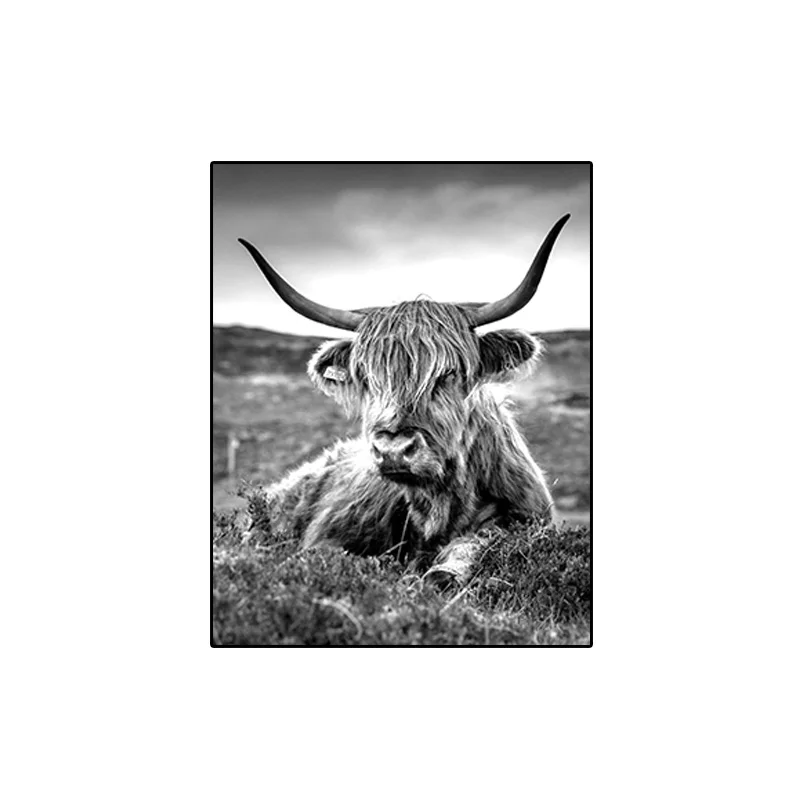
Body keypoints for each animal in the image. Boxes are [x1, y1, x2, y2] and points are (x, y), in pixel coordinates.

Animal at [237, 214, 570, 586]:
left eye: (448, 373)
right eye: (367, 377)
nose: (393, 450)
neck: (438, 507)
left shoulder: (524, 519)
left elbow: (476, 544)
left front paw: (445, 571)